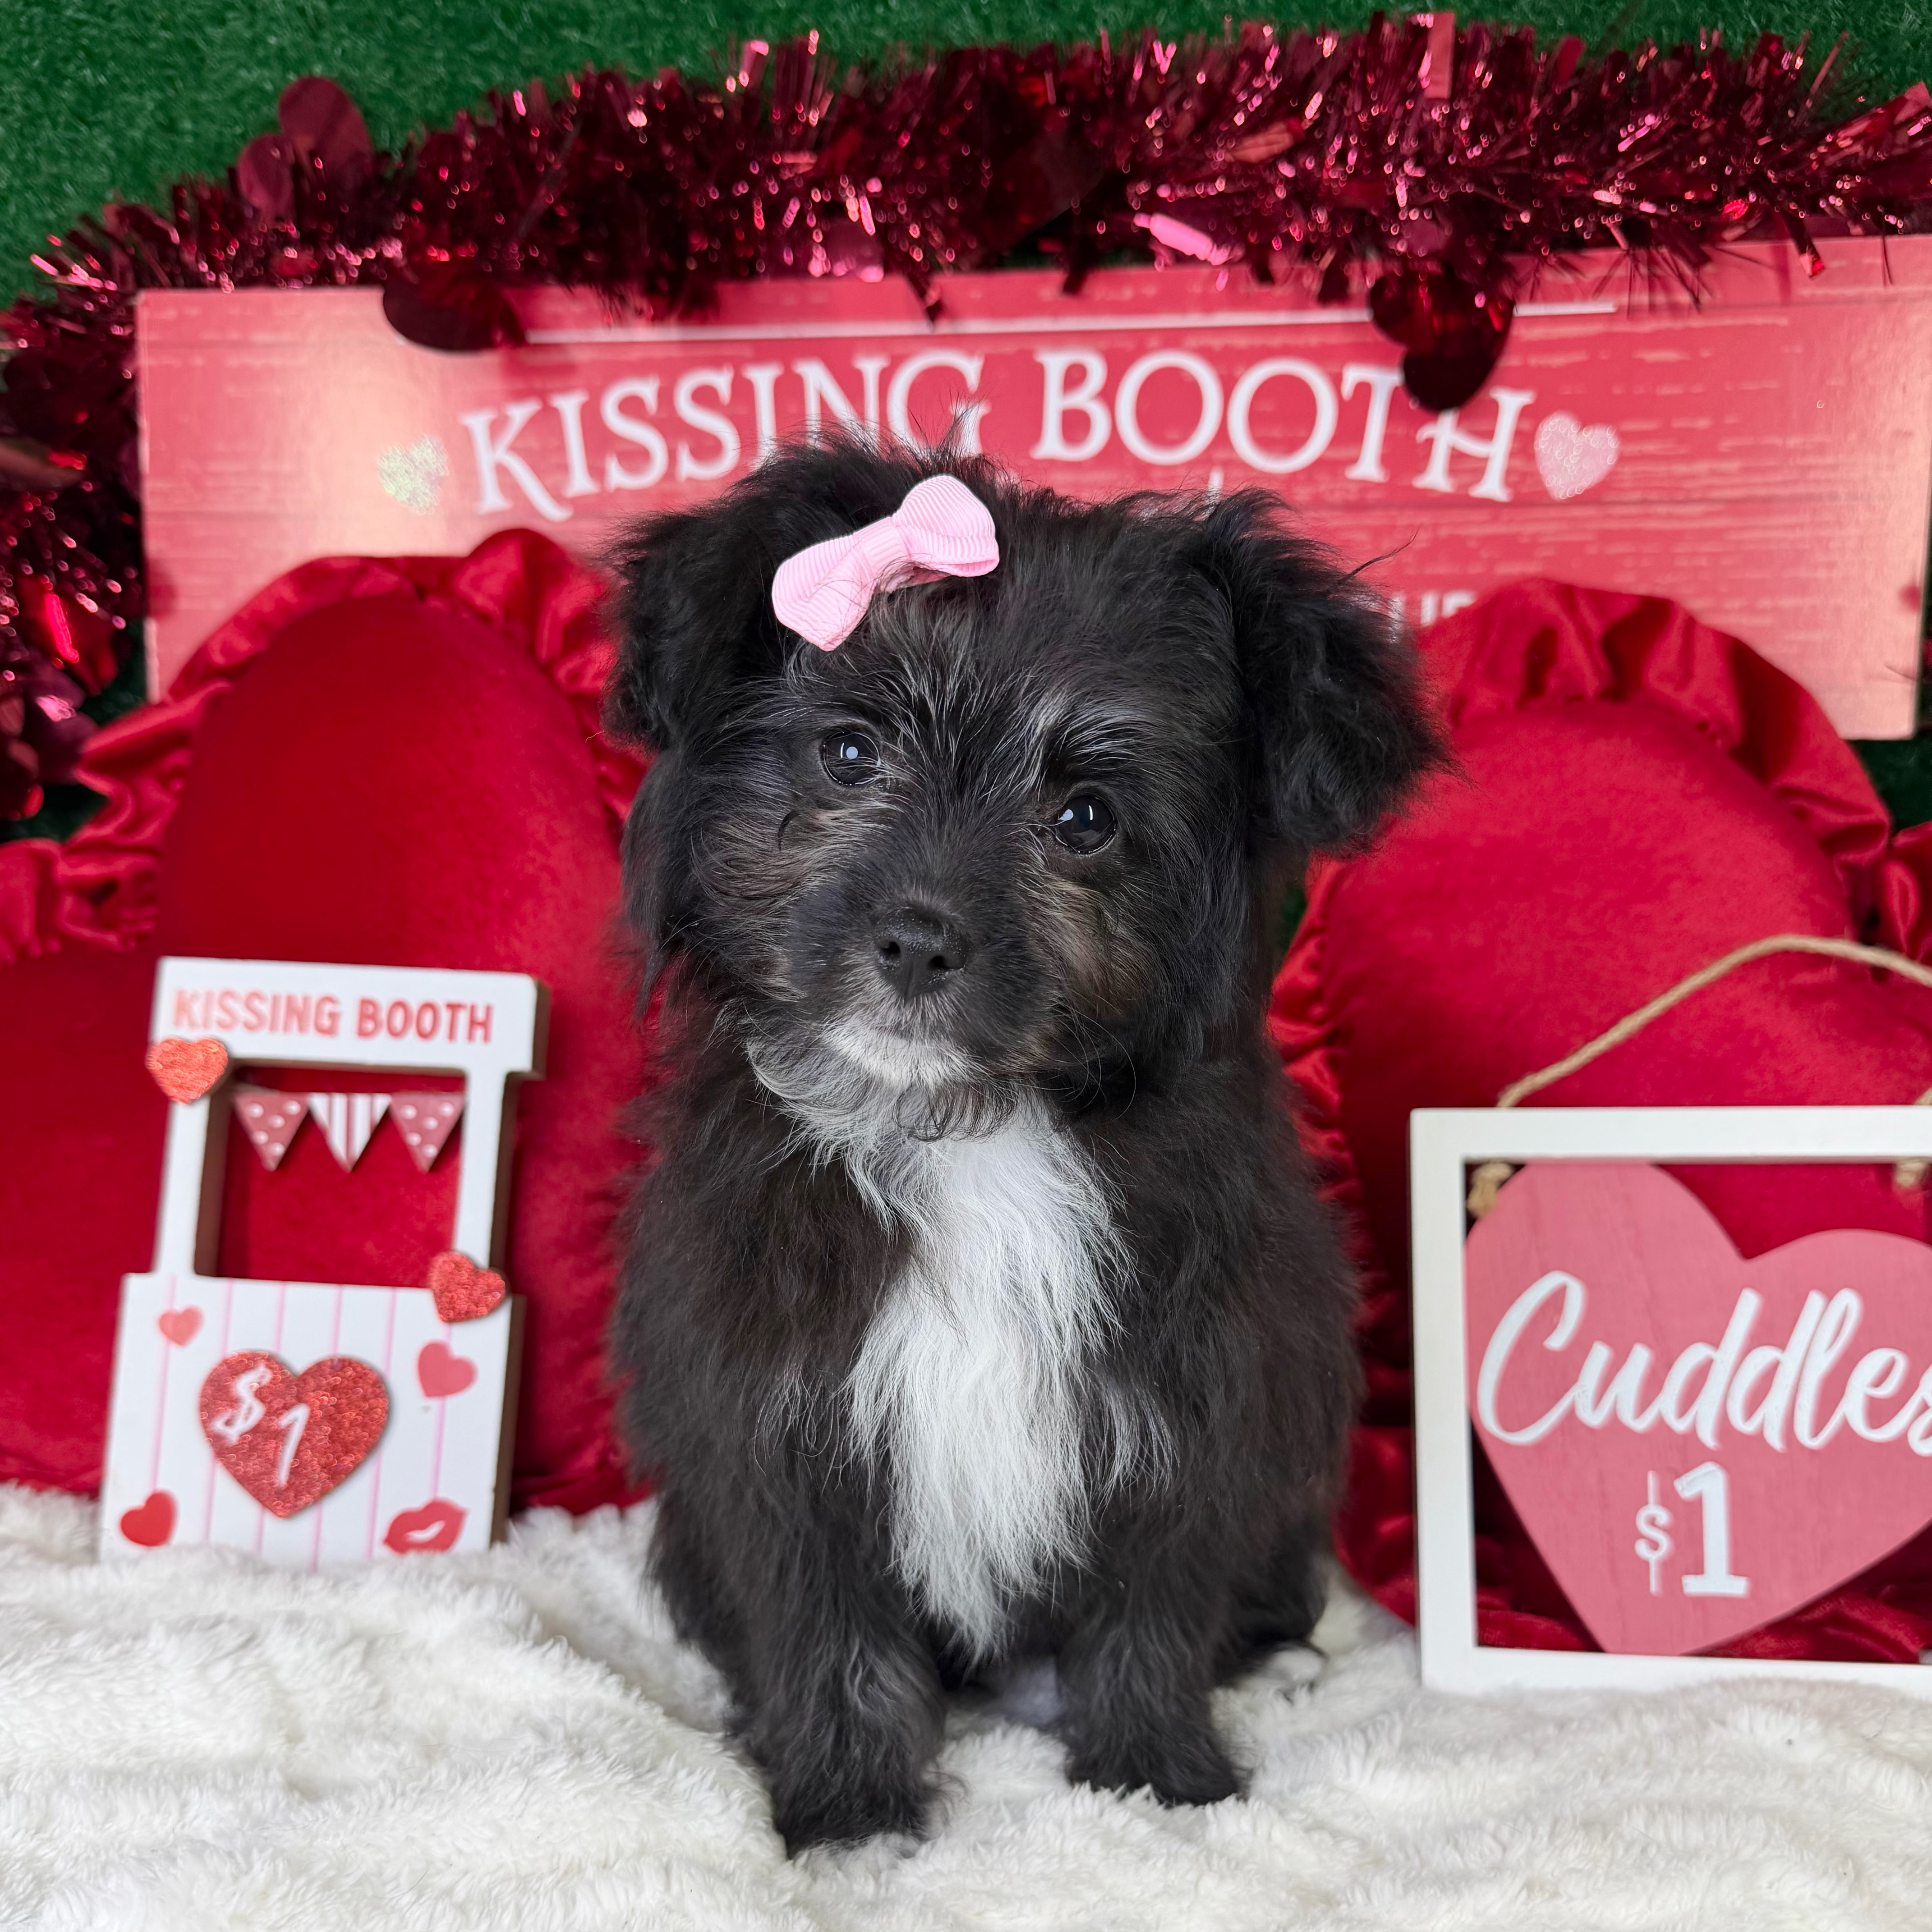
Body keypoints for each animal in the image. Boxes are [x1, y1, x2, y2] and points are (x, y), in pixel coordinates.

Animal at [604, 442, 1440, 1851]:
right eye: (847, 751)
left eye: (1086, 817)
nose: (915, 939)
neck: (966, 1130)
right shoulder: (776, 1414)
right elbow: (827, 1630)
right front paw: (850, 1815)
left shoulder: (1191, 1397)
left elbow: (1153, 1614)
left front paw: (1156, 1778)